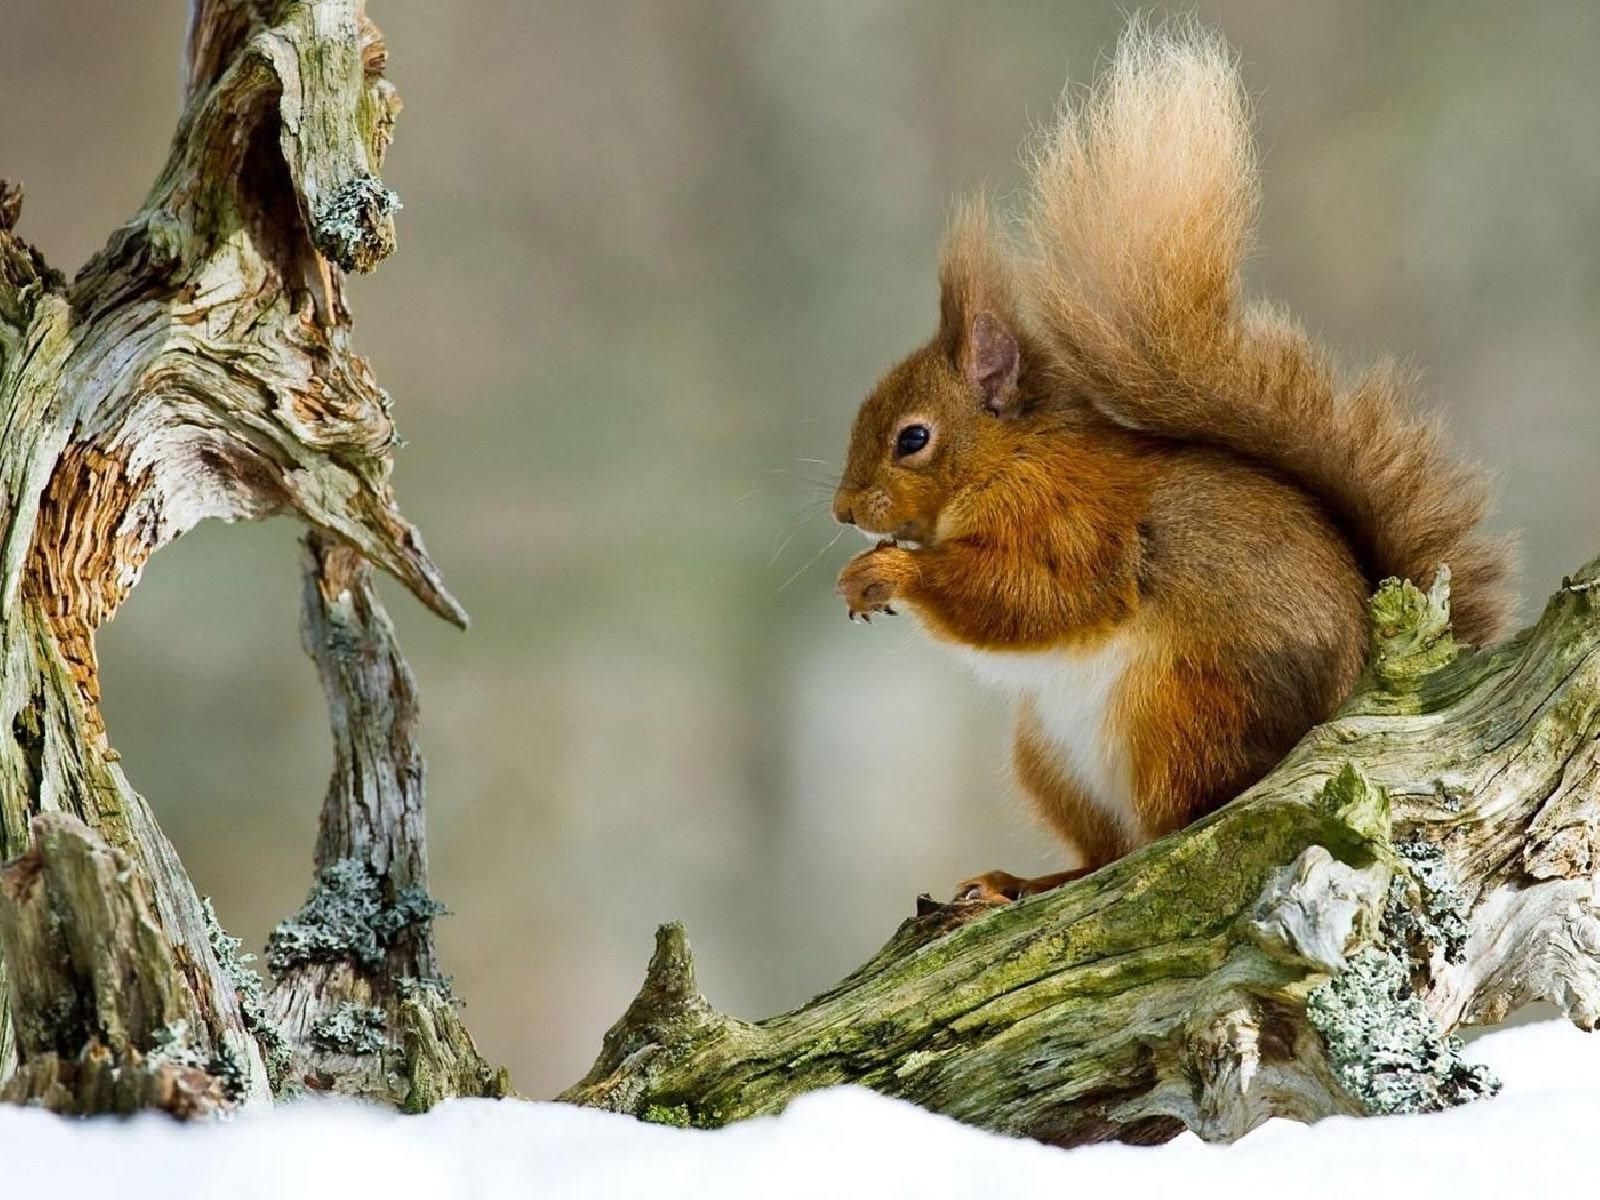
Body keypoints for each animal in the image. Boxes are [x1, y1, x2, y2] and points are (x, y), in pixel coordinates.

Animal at [838, 21, 1510, 902]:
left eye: (912, 438)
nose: (845, 512)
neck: (1012, 457)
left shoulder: (1074, 521)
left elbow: (1031, 596)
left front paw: (888, 573)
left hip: (1178, 711)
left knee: (1169, 829)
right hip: (1050, 755)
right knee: (1108, 851)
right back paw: (1022, 883)